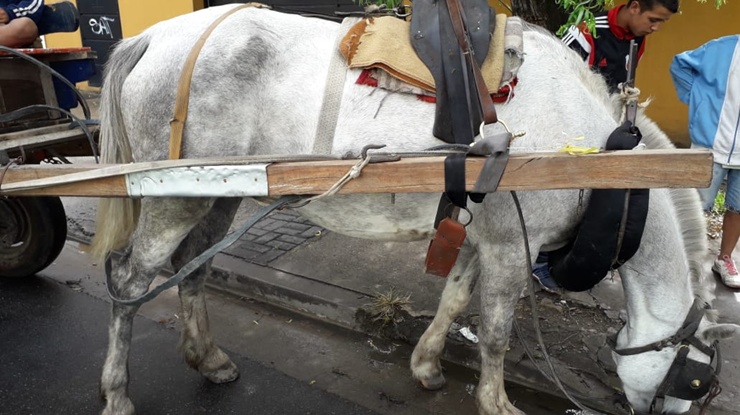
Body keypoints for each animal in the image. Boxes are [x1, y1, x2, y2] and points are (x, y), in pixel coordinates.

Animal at [91, 4, 740, 415]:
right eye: (699, 380)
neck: (601, 162)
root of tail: (156, 38)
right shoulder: (515, 246)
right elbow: (497, 333)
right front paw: (496, 403)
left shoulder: (484, 234)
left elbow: (454, 300)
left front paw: (427, 365)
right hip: (176, 195)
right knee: (128, 278)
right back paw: (117, 391)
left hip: (217, 193)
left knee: (193, 270)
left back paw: (209, 358)